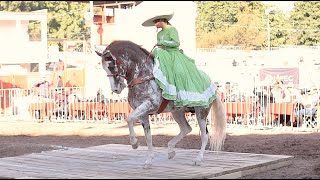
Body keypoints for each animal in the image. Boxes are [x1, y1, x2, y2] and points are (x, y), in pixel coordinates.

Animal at [95, 40, 228, 168]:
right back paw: (170, 150)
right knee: (186, 128)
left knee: (205, 135)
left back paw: (198, 159)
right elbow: (148, 136)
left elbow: (129, 118)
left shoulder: (149, 105)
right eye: (104, 68)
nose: (116, 89)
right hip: (177, 112)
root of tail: (211, 83)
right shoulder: (142, 112)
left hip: (201, 112)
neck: (143, 75)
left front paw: (134, 143)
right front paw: (149, 160)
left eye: (111, 66)